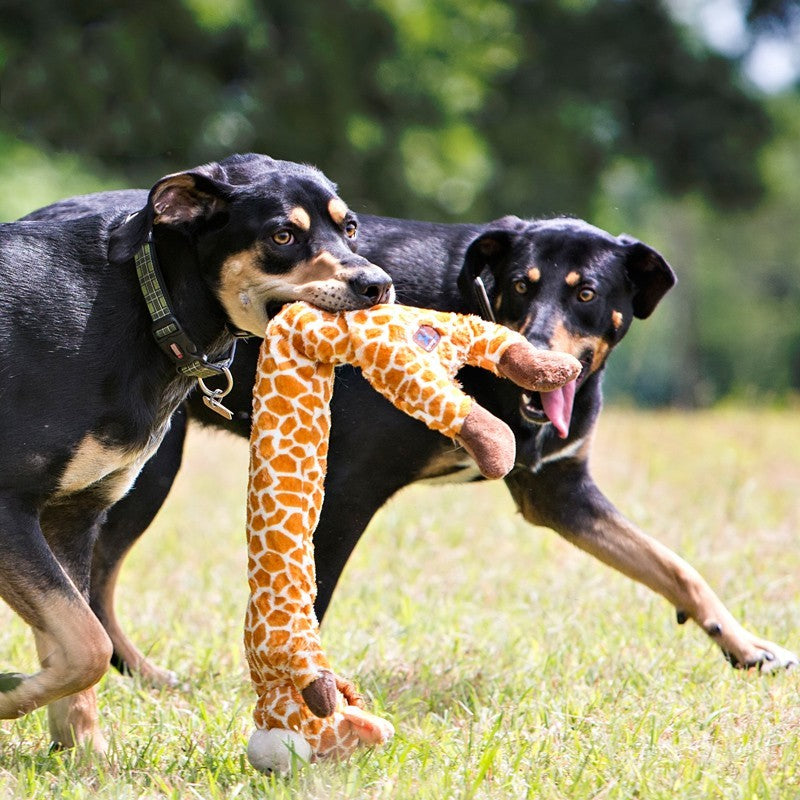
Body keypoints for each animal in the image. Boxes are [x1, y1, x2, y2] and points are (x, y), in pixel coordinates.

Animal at [1, 153, 392, 752]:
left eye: (349, 228)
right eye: (282, 235)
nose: (378, 284)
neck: (148, 307)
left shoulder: (72, 518)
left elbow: (76, 649)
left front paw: (83, 755)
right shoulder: (10, 508)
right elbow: (88, 644)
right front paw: (9, 695)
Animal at [25, 188, 792, 712]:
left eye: (587, 294)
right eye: (520, 288)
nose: (533, 351)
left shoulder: (558, 492)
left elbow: (674, 567)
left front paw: (745, 645)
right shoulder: (349, 485)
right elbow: (313, 597)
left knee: (96, 577)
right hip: (145, 470)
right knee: (97, 578)